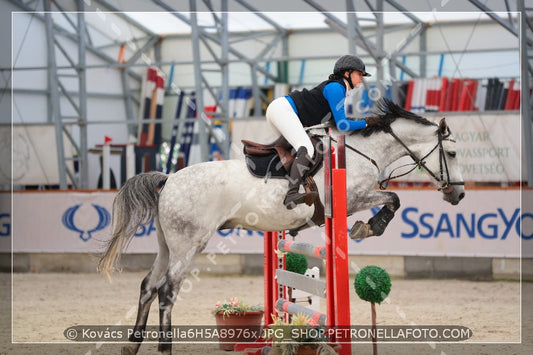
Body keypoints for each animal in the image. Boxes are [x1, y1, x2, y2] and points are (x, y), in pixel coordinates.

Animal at [97, 98, 464, 355]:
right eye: (453, 153)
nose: (458, 194)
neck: (363, 151)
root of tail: (168, 178)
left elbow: (392, 198)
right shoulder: (351, 200)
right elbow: (393, 199)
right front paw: (369, 227)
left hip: (166, 243)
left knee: (148, 286)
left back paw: (132, 344)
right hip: (189, 245)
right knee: (167, 291)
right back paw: (164, 348)